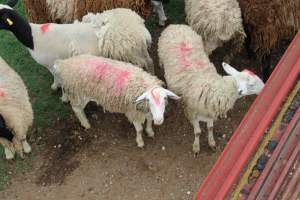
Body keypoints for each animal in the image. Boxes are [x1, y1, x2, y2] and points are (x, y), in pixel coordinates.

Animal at [0, 0, 154, 93]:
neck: (32, 37)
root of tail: (140, 27)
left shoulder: (51, 64)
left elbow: (56, 77)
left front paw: (57, 88)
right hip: (139, 51)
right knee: (149, 61)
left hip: (133, 52)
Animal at [158, 24, 264, 153]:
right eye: (252, 84)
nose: (264, 86)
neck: (215, 90)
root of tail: (174, 26)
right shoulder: (193, 112)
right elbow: (198, 132)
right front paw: (196, 147)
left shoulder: (210, 111)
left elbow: (210, 128)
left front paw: (211, 142)